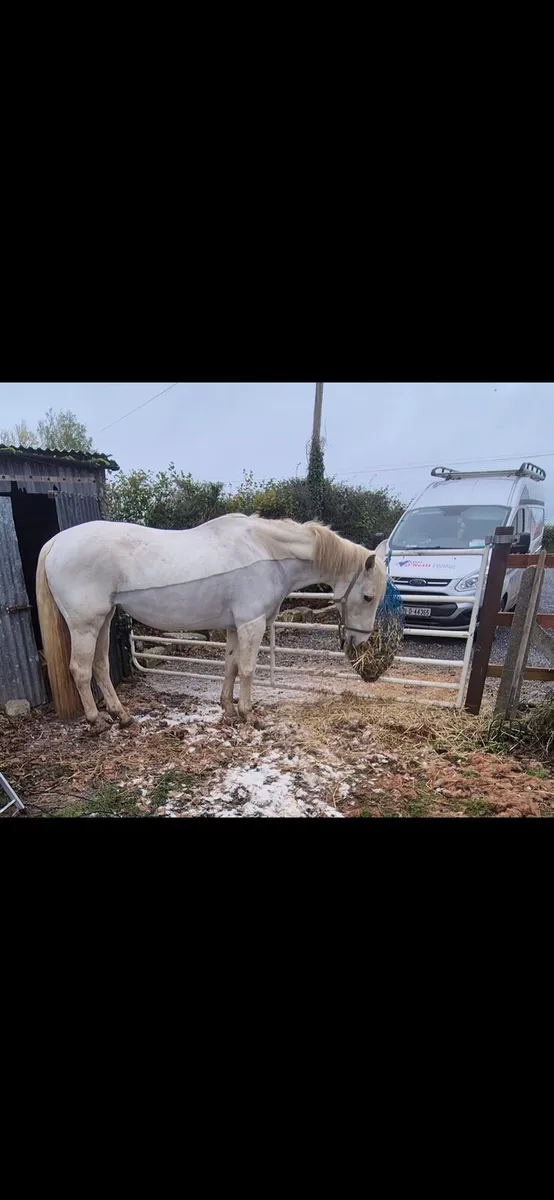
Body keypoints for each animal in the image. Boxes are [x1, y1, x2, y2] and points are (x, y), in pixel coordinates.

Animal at [36, 513, 387, 731]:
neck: (266, 552)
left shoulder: (234, 626)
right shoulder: (251, 624)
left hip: (105, 619)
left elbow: (231, 665)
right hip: (85, 624)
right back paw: (96, 721)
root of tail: (55, 543)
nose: (360, 640)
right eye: (368, 596)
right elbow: (248, 668)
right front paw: (248, 715)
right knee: (80, 670)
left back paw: (121, 716)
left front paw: (228, 708)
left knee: (99, 667)